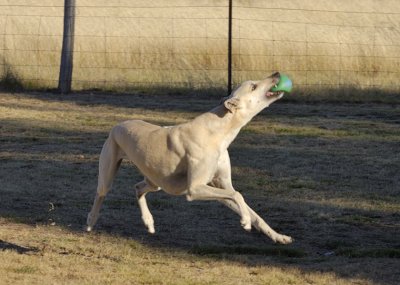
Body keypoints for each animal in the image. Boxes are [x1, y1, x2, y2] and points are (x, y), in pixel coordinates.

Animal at [86, 72, 294, 243]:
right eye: (253, 86)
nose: (277, 73)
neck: (217, 131)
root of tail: (118, 124)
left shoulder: (221, 186)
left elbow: (247, 206)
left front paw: (278, 236)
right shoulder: (194, 189)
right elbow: (238, 195)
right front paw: (245, 221)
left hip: (156, 182)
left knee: (138, 188)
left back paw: (149, 221)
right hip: (109, 173)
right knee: (101, 193)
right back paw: (90, 222)